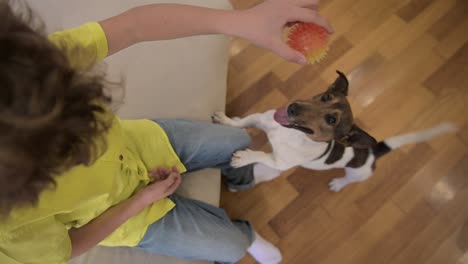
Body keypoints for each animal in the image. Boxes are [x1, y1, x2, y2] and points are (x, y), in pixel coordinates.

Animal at [211, 70, 458, 191]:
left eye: (331, 120)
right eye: (326, 96)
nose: (291, 107)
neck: (292, 134)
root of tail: (373, 151)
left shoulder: (279, 162)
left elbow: (261, 155)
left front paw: (244, 157)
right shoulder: (260, 119)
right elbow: (242, 123)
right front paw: (225, 120)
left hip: (356, 174)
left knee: (349, 180)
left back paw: (338, 184)